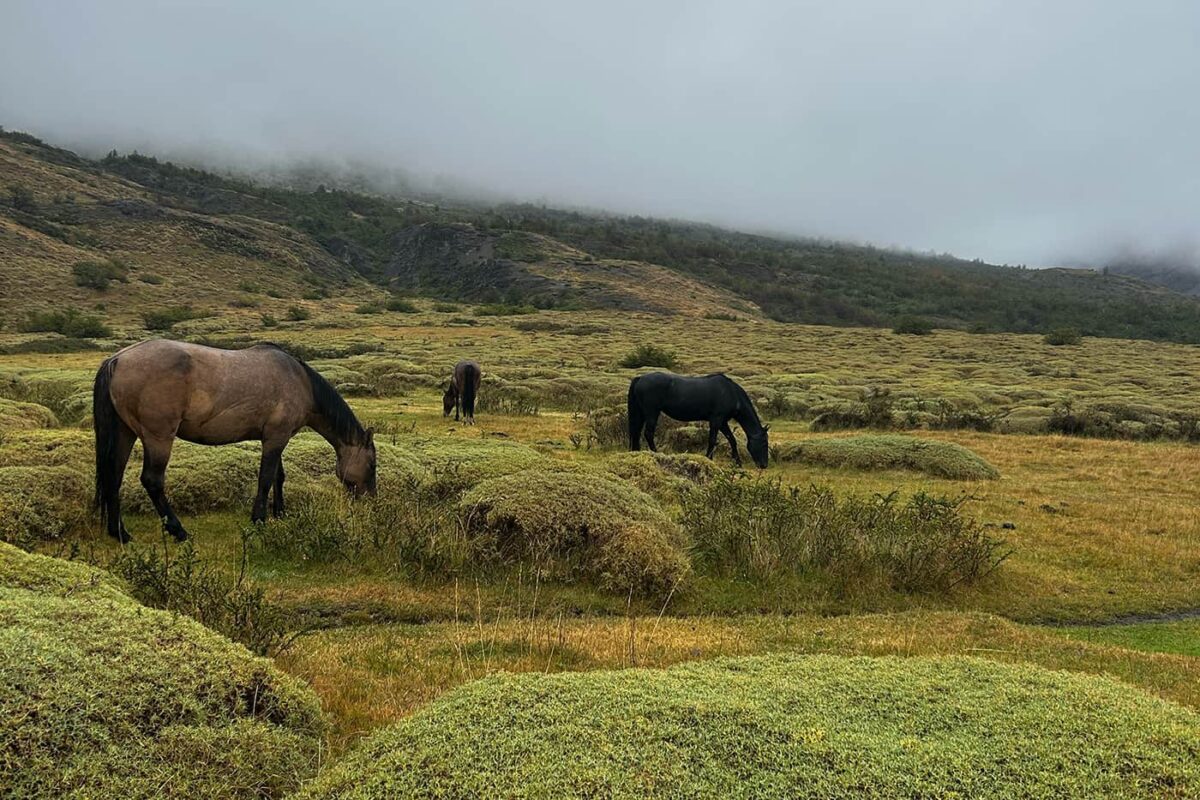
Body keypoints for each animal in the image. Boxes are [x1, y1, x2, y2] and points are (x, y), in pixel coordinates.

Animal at [91, 340, 374, 544]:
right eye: (372, 465)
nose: (371, 499)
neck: (300, 381)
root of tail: (117, 359)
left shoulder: (276, 438)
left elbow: (278, 476)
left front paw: (280, 514)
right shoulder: (275, 438)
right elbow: (266, 478)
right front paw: (259, 520)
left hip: (125, 433)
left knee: (113, 477)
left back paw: (120, 533)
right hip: (158, 437)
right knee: (152, 481)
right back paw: (178, 531)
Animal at [628, 371, 768, 465]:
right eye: (764, 443)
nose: (764, 465)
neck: (731, 393)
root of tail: (640, 378)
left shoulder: (723, 422)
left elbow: (732, 440)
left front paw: (738, 463)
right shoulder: (716, 420)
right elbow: (712, 440)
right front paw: (709, 459)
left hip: (641, 413)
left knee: (636, 432)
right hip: (652, 413)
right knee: (648, 433)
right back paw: (657, 454)